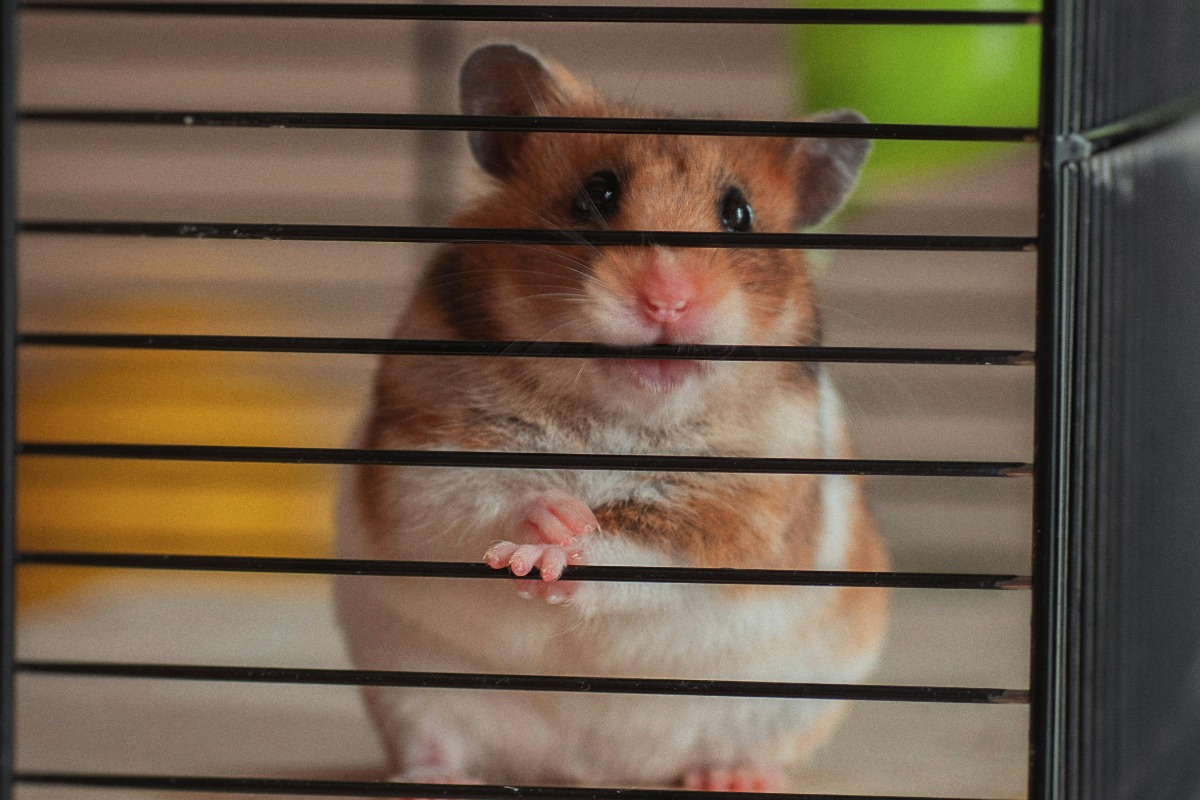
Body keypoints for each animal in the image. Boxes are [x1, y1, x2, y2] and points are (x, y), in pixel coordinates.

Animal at [334, 43, 889, 792]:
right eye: (597, 192)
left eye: (739, 213)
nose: (667, 301)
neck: (615, 417)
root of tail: (585, 768)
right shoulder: (423, 450)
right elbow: (477, 499)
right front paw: (546, 529)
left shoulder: (741, 510)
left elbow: (640, 553)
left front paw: (562, 551)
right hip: (409, 690)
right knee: (435, 744)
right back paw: (433, 782)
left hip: (792, 702)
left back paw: (733, 779)